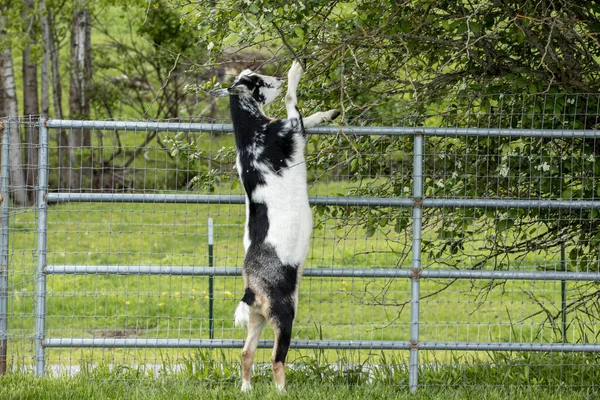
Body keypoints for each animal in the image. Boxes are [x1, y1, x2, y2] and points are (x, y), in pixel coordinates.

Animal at [213, 62, 340, 390]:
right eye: (257, 81)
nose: (277, 78)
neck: (251, 135)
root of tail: (251, 290)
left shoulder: (294, 130)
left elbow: (307, 117)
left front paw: (331, 113)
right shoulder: (290, 129)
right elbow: (292, 103)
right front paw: (295, 72)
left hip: (256, 319)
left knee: (246, 353)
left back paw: (246, 389)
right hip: (283, 316)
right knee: (276, 359)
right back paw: (281, 391)